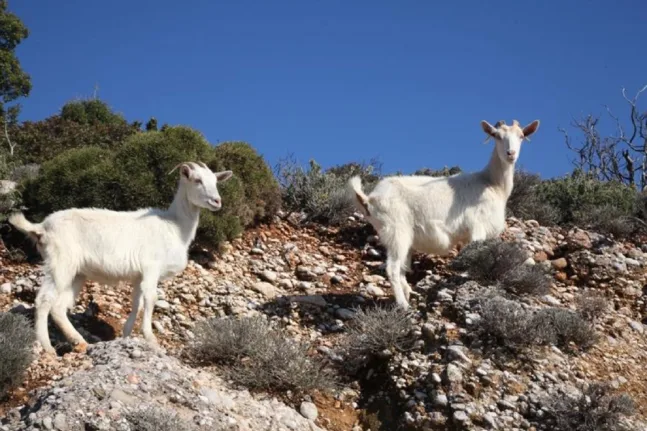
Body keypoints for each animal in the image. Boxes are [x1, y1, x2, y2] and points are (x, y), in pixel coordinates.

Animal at [8, 162, 235, 354]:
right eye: (197, 180)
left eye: (215, 182)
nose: (217, 201)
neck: (174, 226)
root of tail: (42, 227)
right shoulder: (151, 268)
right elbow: (151, 298)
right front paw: (151, 339)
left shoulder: (138, 276)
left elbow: (137, 303)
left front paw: (126, 336)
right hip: (60, 263)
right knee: (44, 301)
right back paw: (48, 348)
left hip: (77, 273)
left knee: (59, 307)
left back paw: (80, 342)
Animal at [350, 119, 540, 310]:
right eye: (496, 136)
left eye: (521, 136)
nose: (511, 154)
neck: (491, 183)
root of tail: (369, 198)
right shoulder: (478, 228)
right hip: (397, 231)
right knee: (393, 269)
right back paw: (403, 305)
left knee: (403, 267)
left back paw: (408, 294)